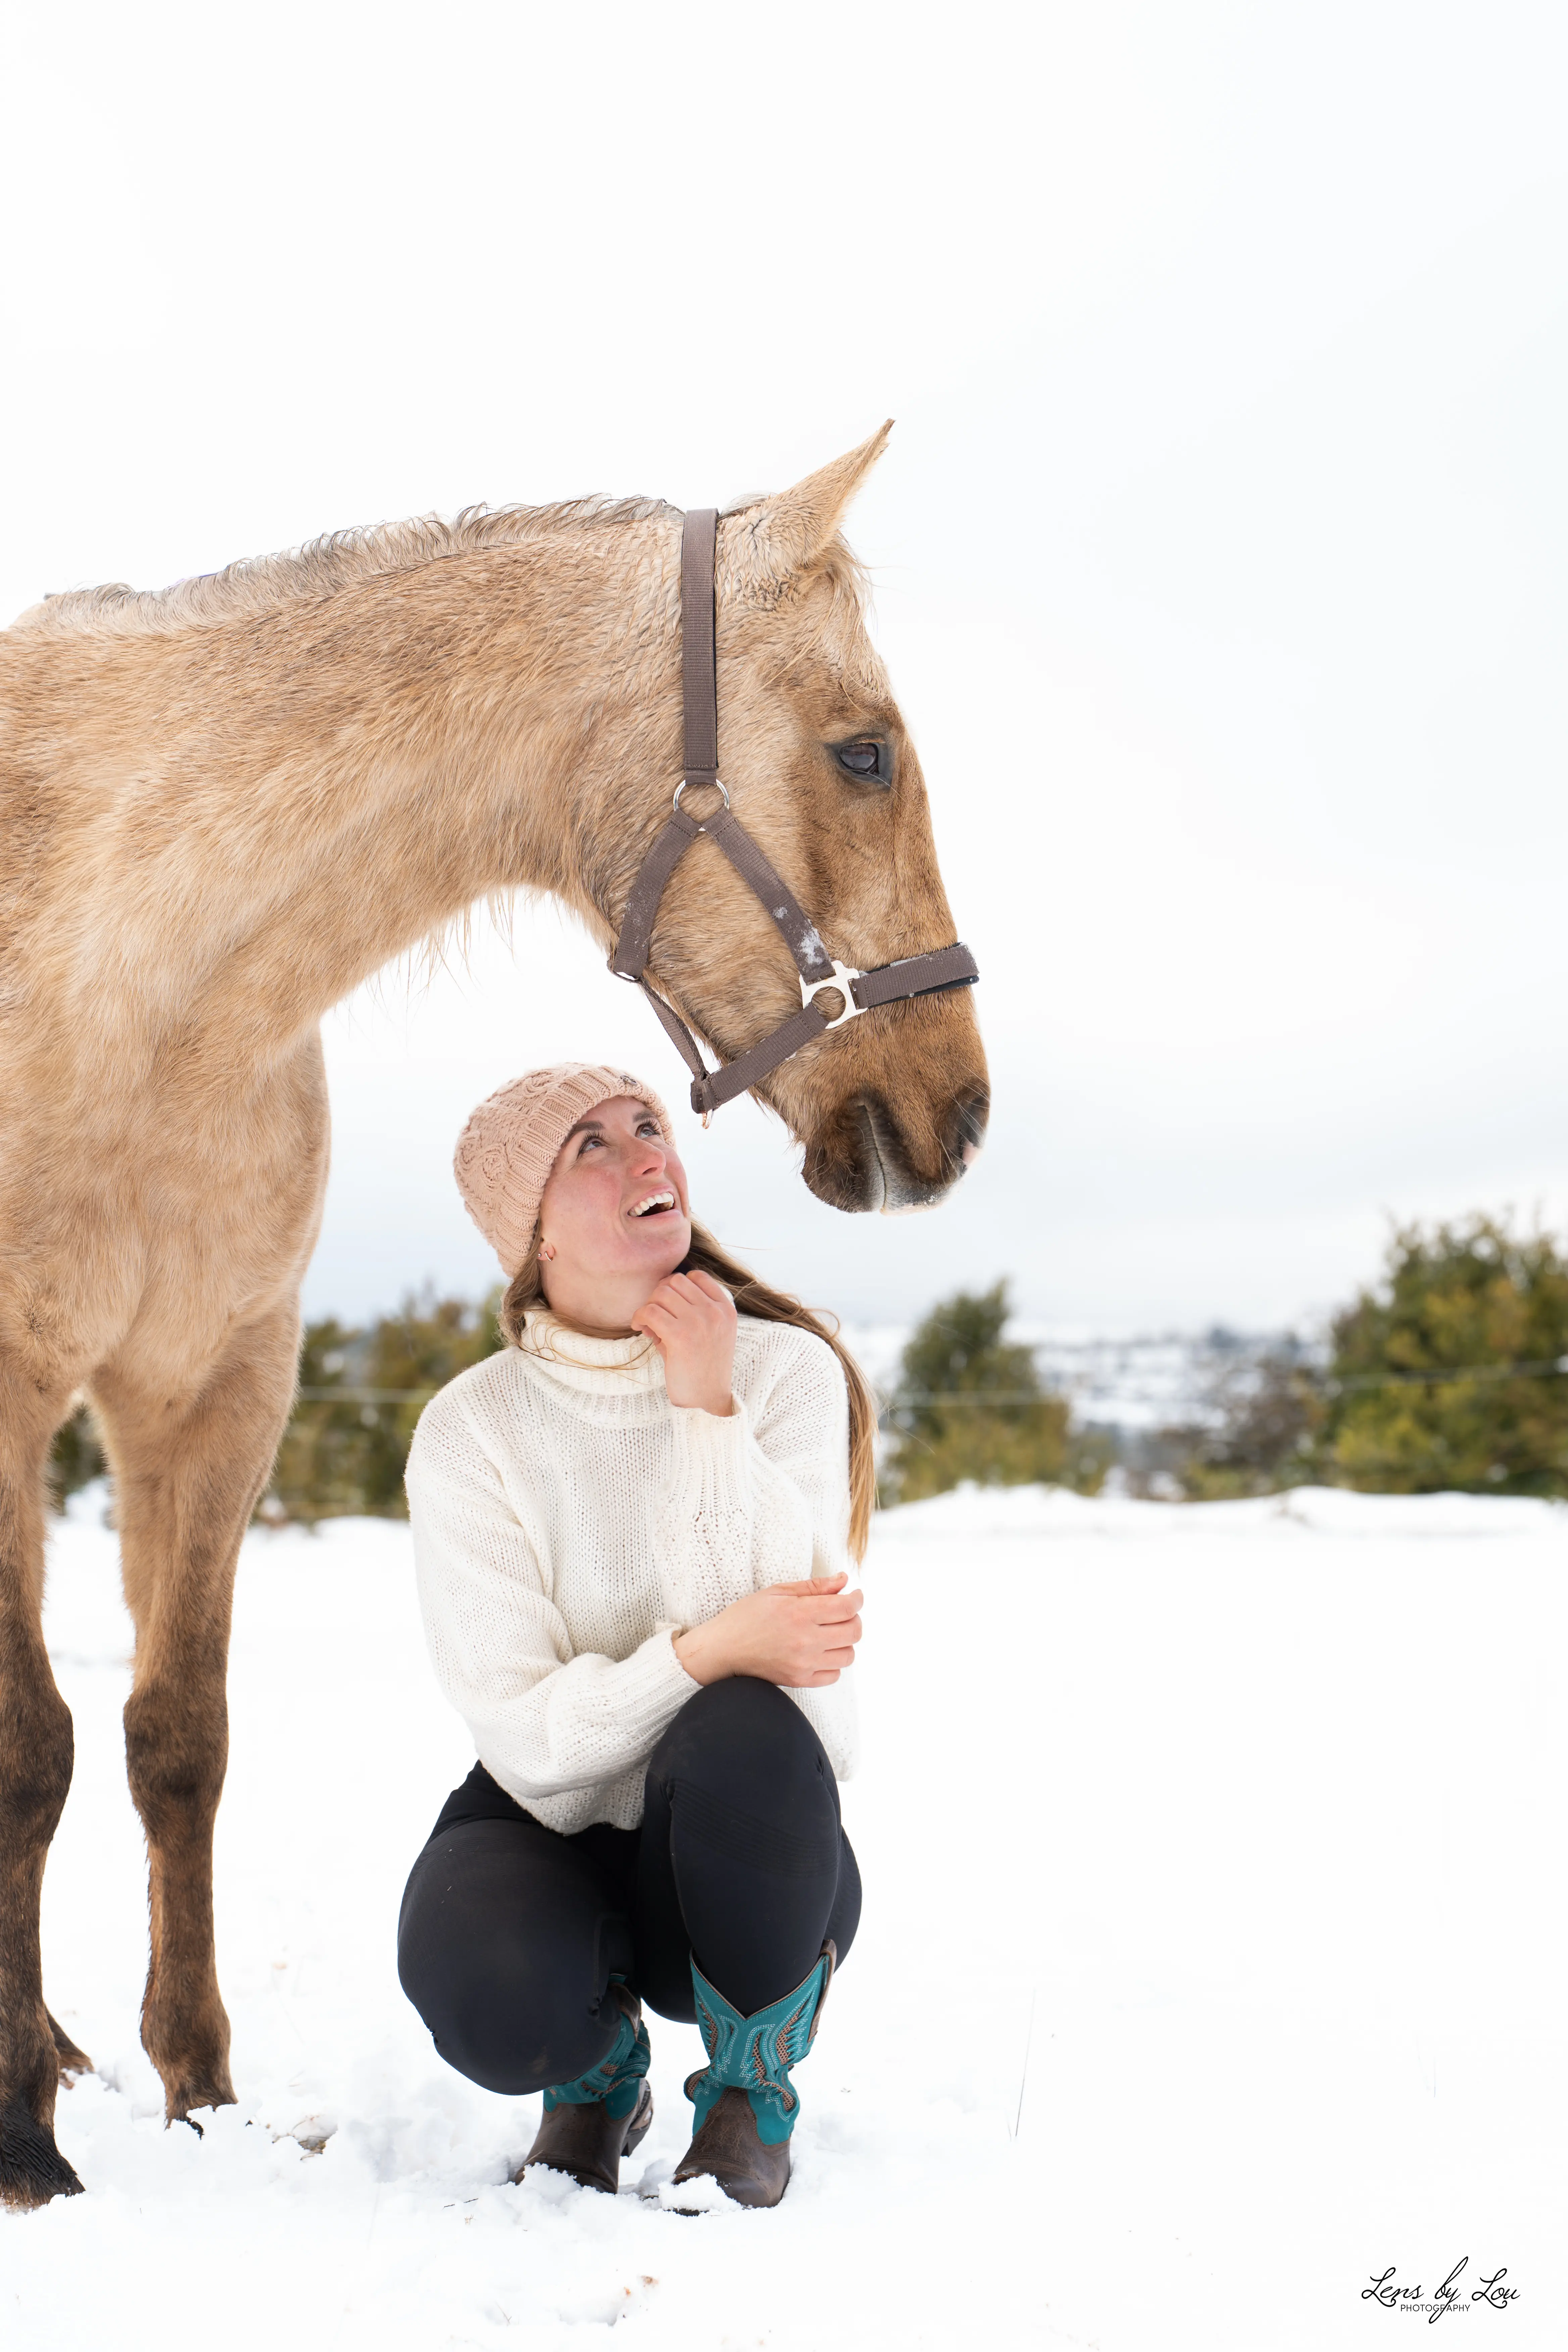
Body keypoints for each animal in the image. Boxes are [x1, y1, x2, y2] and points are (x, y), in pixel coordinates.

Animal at [0, 424, 988, 2208]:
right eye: (864, 752)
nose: (955, 1110)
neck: (109, 971)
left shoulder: (218, 1391)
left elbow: (178, 1737)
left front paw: (200, 2098)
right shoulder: (9, 1392)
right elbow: (27, 1746)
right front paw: (22, 2147)